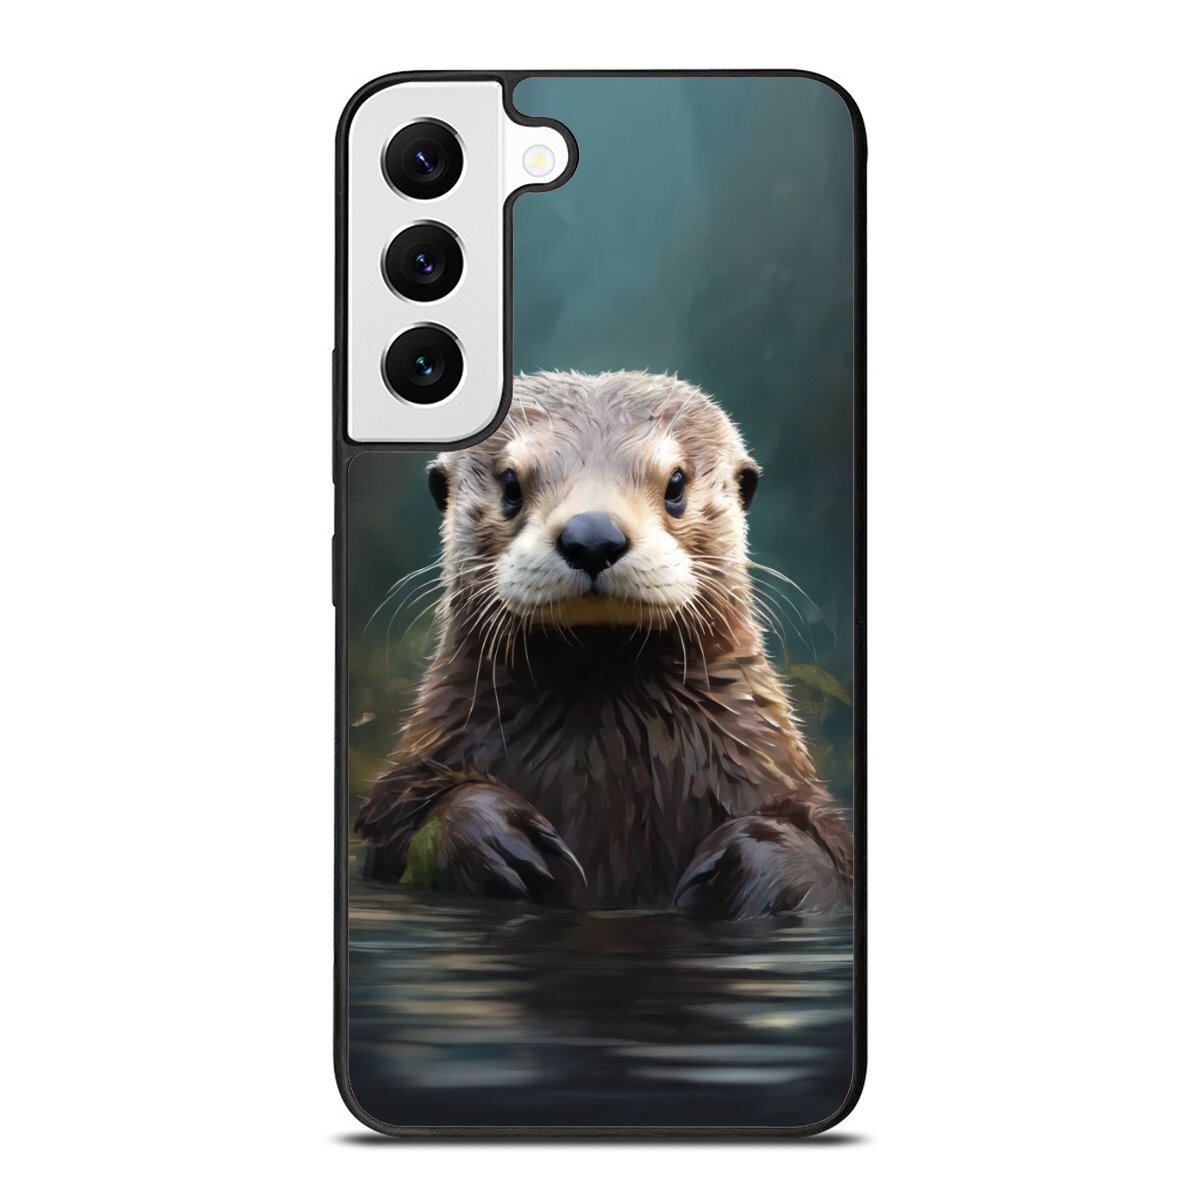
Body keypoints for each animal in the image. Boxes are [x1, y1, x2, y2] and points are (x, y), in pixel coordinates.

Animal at [356, 370, 853, 919]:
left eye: (676, 484)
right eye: (511, 485)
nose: (592, 535)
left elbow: (826, 851)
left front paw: (752, 861)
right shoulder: (404, 788)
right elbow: (401, 826)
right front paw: (494, 838)